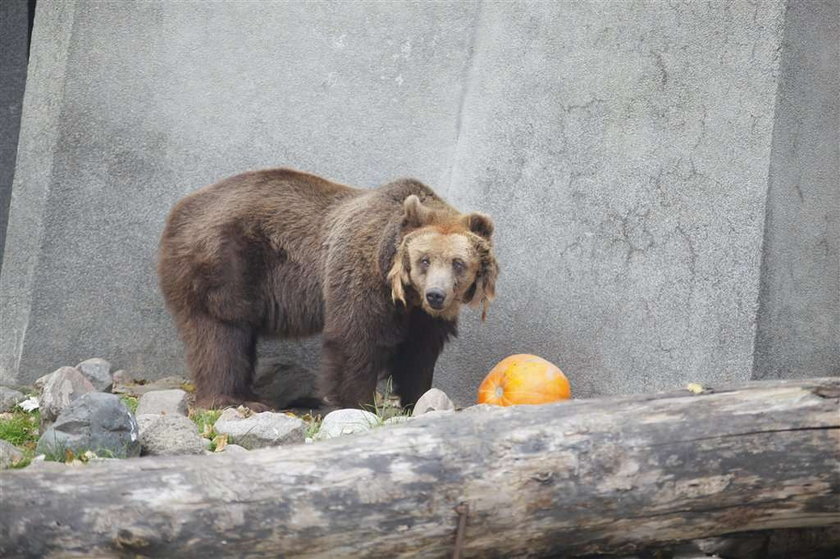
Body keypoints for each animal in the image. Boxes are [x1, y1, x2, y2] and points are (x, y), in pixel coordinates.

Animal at [158, 167, 498, 412]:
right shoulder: (362, 275)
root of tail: (179, 211)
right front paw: (357, 404)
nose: (436, 295)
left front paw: (417, 399)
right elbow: (355, 337)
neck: (405, 292)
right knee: (220, 332)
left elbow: (418, 354)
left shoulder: (422, 318)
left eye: (458, 263)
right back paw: (232, 399)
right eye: (424, 259)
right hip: (224, 263)